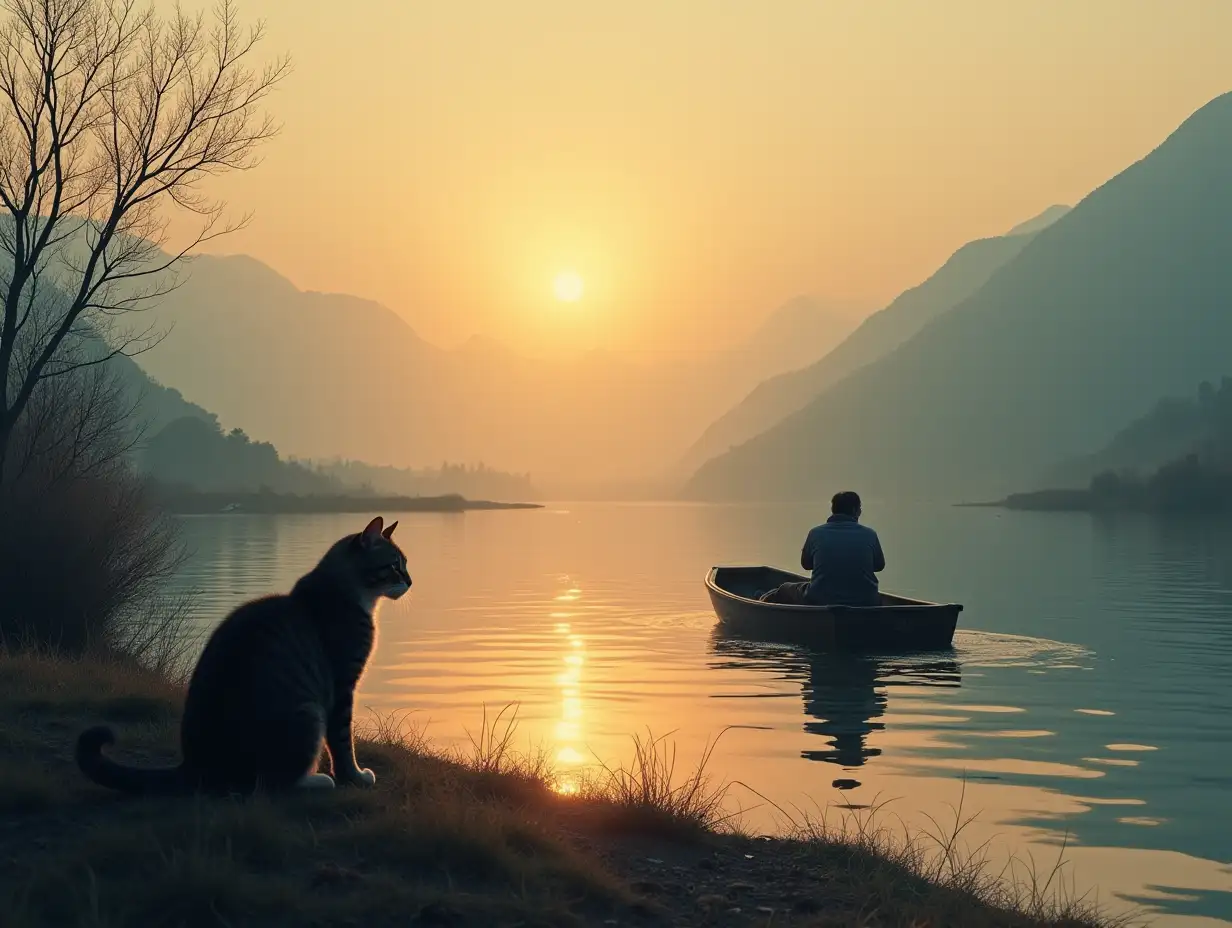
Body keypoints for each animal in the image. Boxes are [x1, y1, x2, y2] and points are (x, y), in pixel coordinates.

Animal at [78, 517, 413, 793]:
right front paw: (353, 777)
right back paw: (316, 780)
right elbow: (343, 742)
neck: (345, 590)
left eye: (405, 564)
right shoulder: (342, 685)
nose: (410, 582)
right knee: (272, 782)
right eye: (394, 565)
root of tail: (195, 765)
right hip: (308, 712)